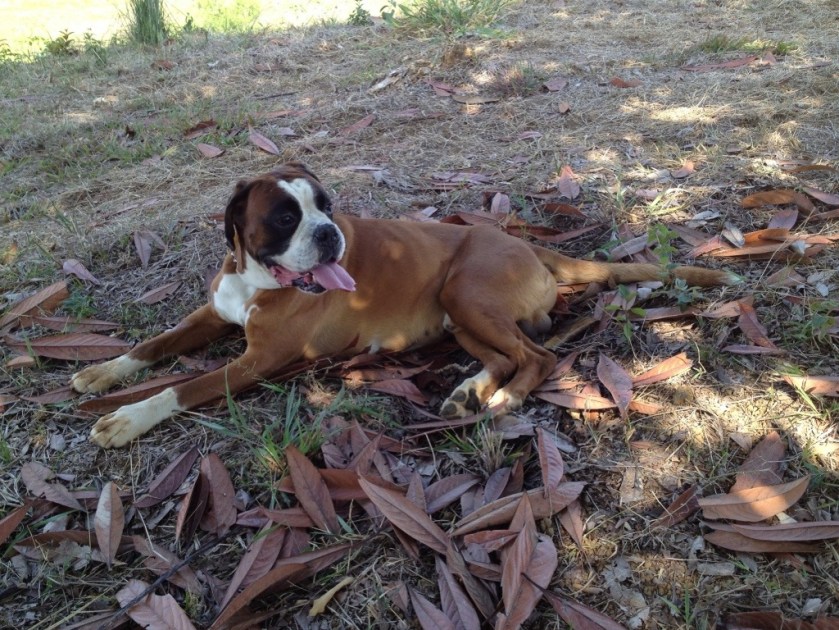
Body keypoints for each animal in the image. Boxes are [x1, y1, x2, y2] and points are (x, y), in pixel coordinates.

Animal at [72, 163, 739, 447]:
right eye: (284, 217)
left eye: (327, 205)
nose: (329, 233)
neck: (257, 276)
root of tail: (526, 243)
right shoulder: (211, 315)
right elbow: (152, 346)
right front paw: (104, 371)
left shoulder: (257, 362)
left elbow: (183, 387)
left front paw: (128, 418)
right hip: (460, 317)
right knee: (507, 356)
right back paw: (468, 391)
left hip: (465, 293)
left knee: (539, 358)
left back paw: (503, 401)